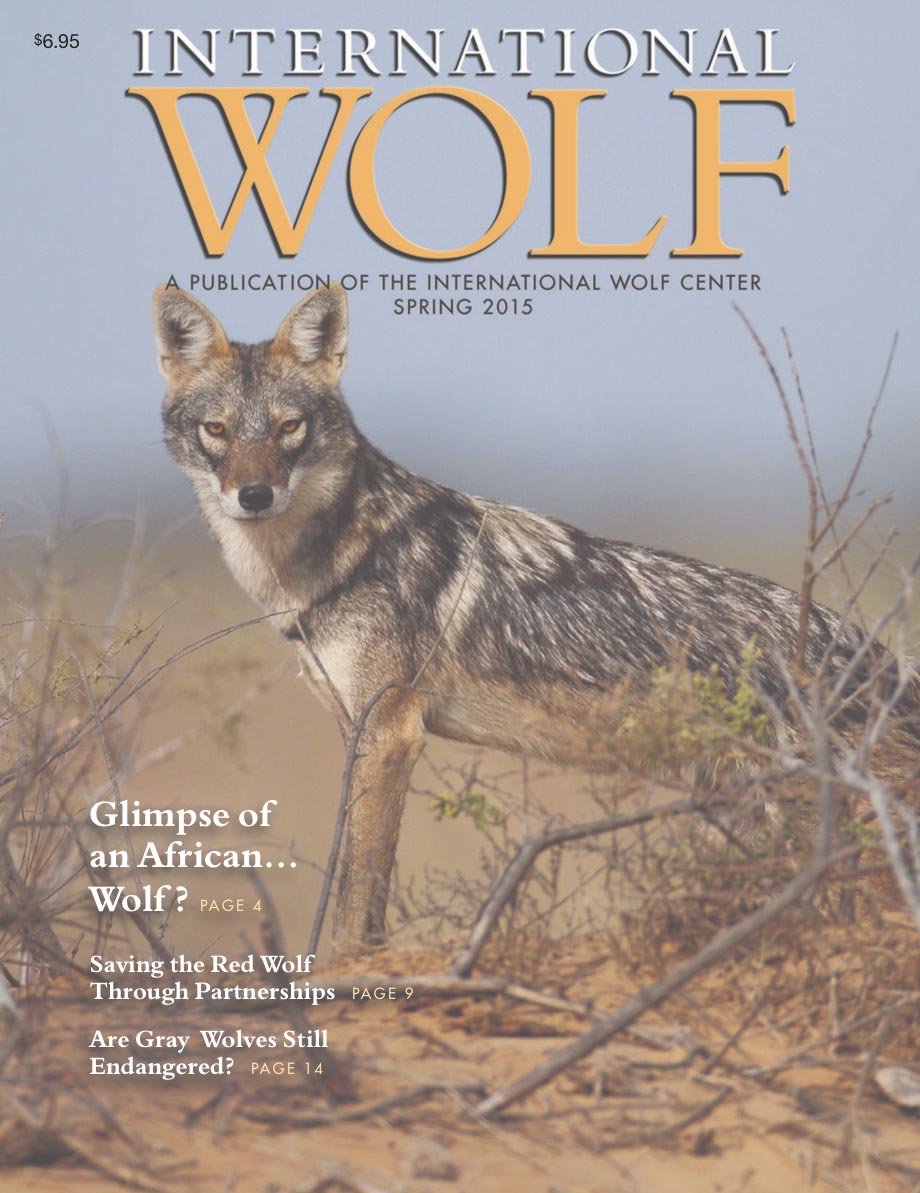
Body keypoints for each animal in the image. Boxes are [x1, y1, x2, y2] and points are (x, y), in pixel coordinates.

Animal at [152, 283, 899, 950]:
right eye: (218, 430)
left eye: (289, 428)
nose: (254, 495)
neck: (332, 558)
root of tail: (876, 651)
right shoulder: (356, 725)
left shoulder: (390, 732)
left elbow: (359, 897)